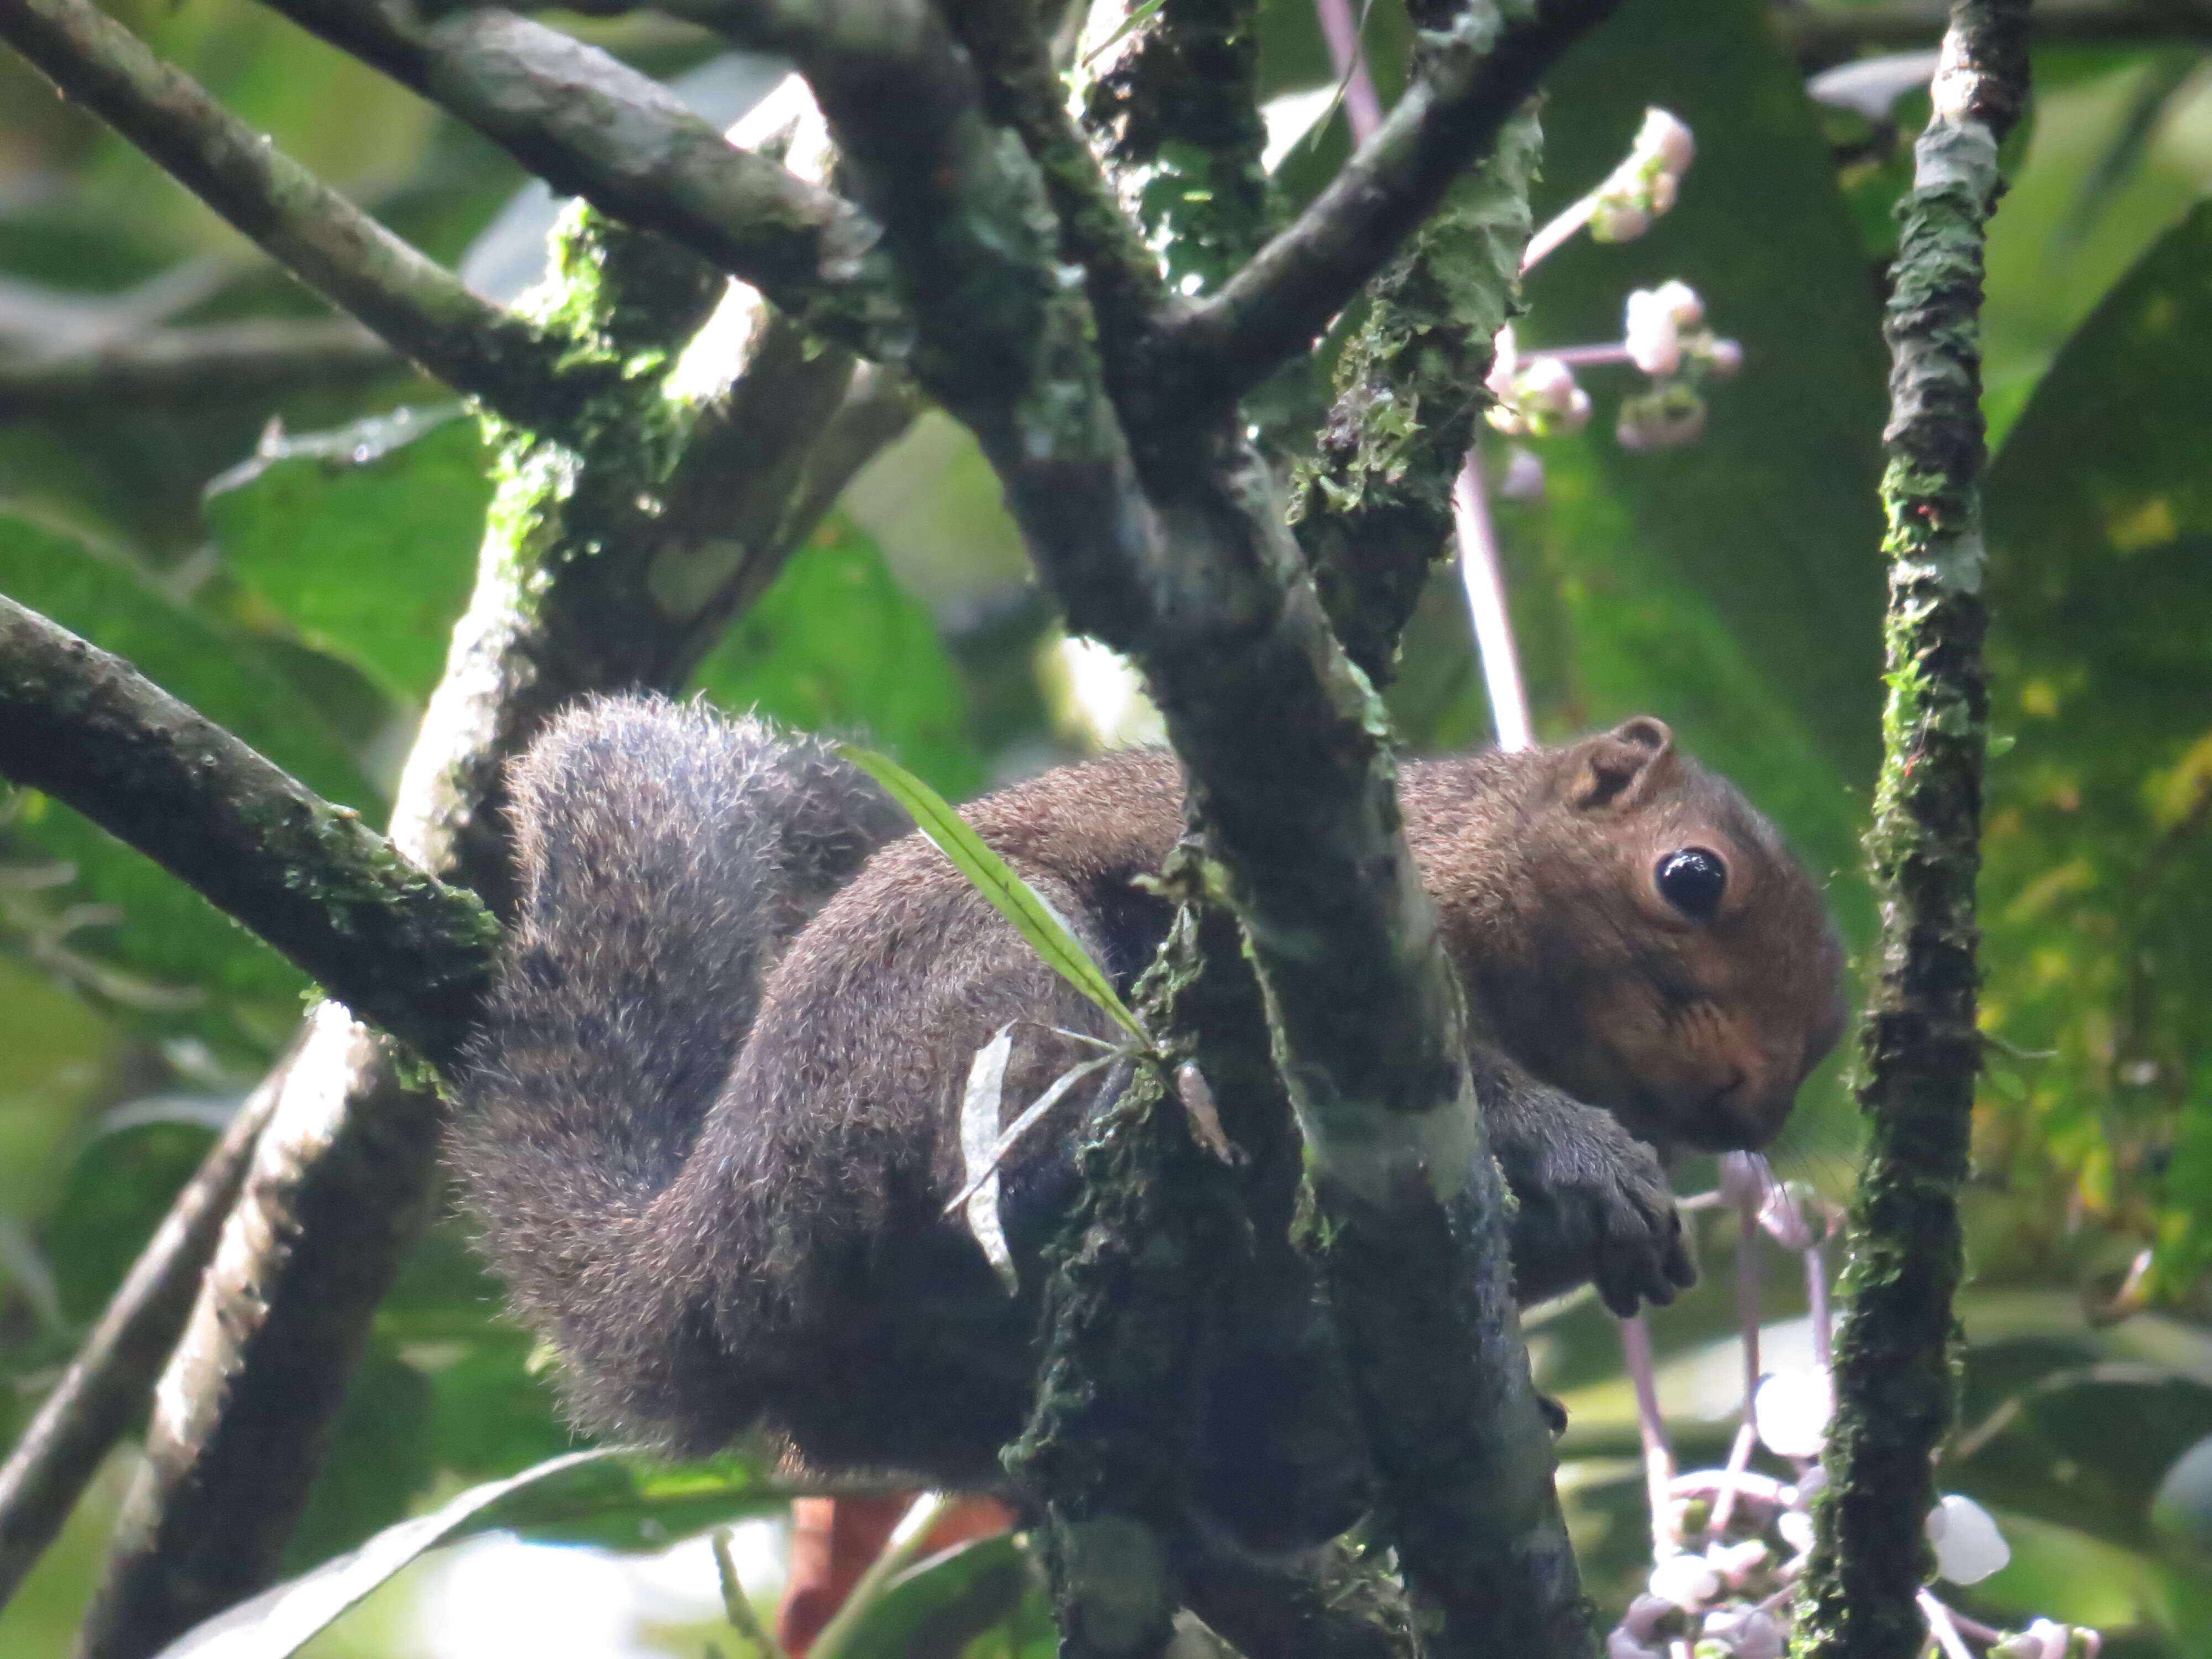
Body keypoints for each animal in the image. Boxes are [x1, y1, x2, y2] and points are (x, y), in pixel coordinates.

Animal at [453, 695, 1849, 1557]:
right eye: (1689, 876)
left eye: (1827, 1041)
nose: (1748, 1100)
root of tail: (722, 1226)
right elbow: (1475, 1093)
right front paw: (1582, 1151)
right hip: (978, 1002)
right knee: (1009, 1178)